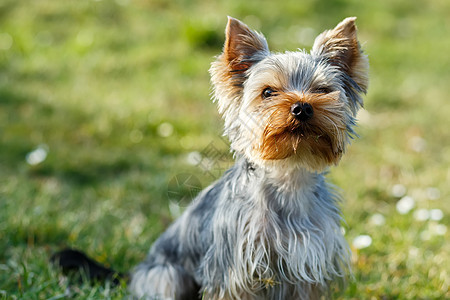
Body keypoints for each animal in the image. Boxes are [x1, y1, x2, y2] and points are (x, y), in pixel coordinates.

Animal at [128, 17, 368, 300]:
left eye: (322, 89)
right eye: (268, 92)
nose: (301, 107)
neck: (289, 174)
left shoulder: (308, 262)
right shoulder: (236, 270)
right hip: (165, 274)